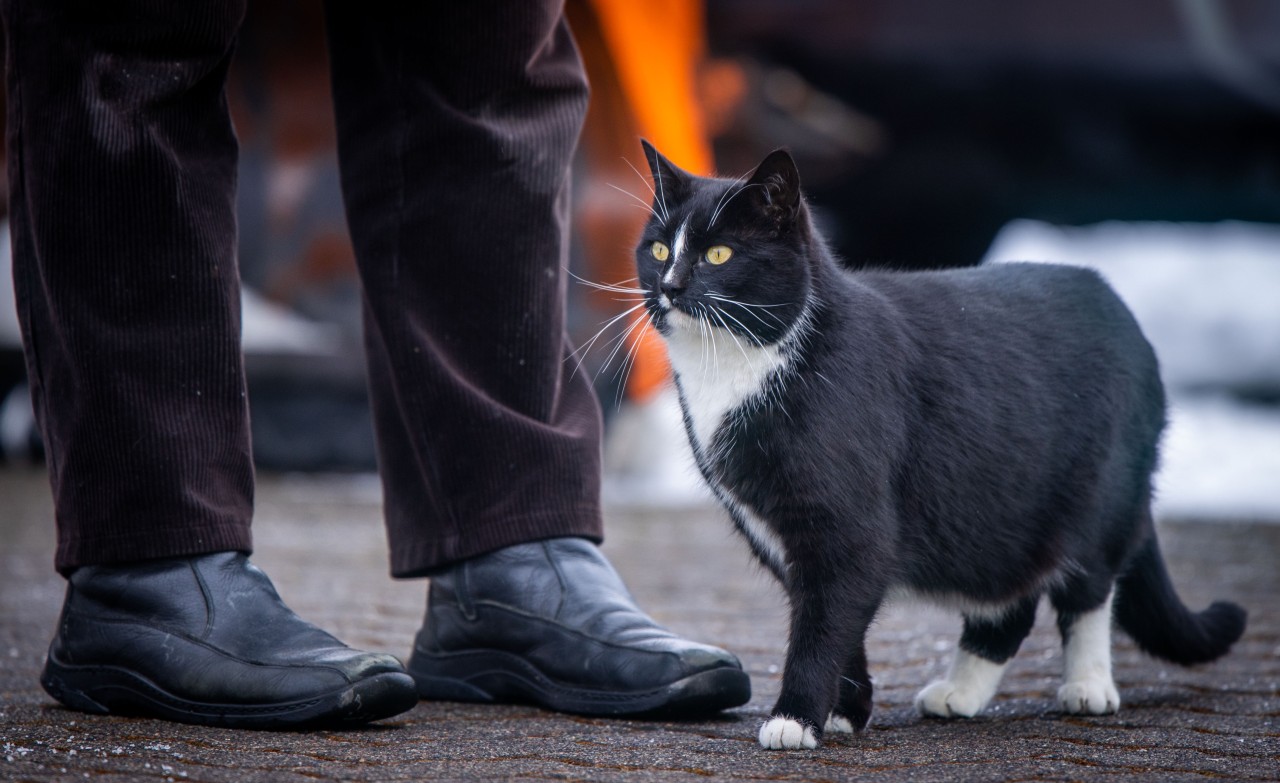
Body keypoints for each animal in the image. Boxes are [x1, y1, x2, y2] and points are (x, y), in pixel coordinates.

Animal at [634, 143, 1244, 747]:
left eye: (718, 254)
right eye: (659, 249)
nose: (670, 286)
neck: (739, 369)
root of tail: (1114, 300)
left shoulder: (847, 525)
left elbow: (823, 624)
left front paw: (795, 718)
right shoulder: (777, 531)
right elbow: (839, 626)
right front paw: (846, 710)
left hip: (1099, 494)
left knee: (1089, 587)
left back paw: (1089, 685)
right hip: (997, 514)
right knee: (1009, 606)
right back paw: (962, 692)